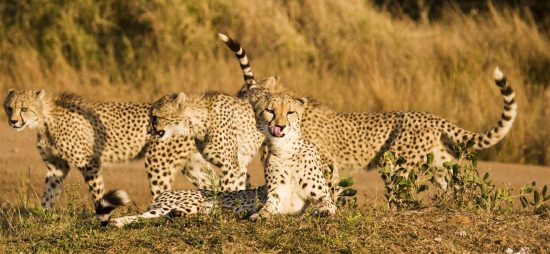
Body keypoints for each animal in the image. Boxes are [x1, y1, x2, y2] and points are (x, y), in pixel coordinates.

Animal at [2, 90, 212, 215]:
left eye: (24, 108)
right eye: (9, 108)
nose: (13, 121)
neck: (45, 118)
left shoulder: (90, 163)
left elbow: (97, 191)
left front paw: (102, 214)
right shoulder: (56, 167)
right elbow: (49, 192)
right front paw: (43, 216)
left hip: (158, 160)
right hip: (190, 164)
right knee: (210, 185)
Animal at [101, 92, 338, 227]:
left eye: (290, 113)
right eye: (270, 111)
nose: (280, 126)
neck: (287, 150)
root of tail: (166, 194)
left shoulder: (321, 195)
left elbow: (328, 203)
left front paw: (323, 211)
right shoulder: (274, 199)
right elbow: (267, 208)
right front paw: (259, 215)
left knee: (168, 217)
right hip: (179, 203)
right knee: (145, 216)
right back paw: (118, 222)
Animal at [219, 33, 516, 190]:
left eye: (249, 97)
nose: (237, 106)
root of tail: (428, 115)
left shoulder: (327, 162)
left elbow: (326, 187)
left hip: (396, 163)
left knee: (401, 191)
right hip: (436, 160)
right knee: (453, 181)